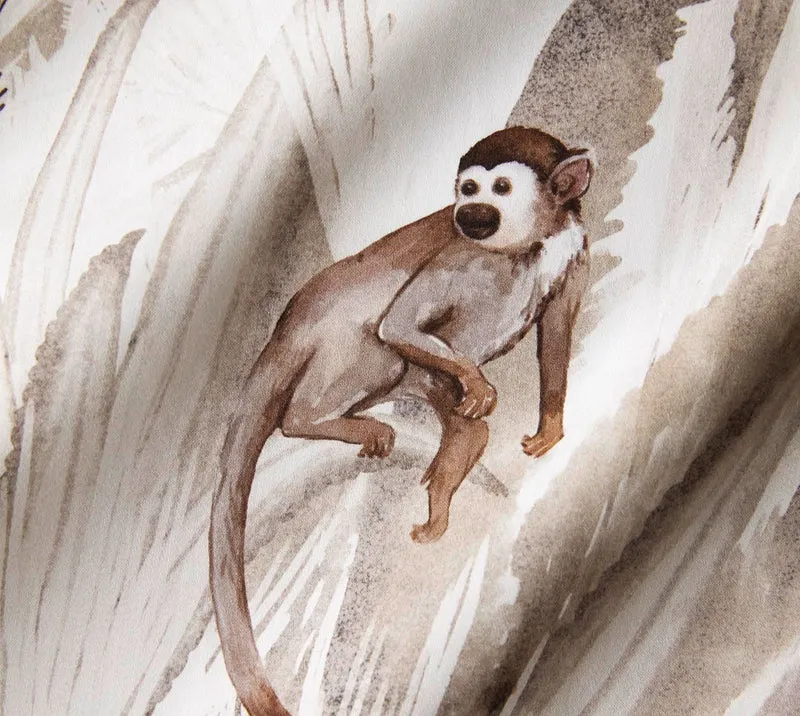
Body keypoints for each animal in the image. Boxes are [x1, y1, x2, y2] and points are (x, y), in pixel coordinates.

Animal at [209, 126, 593, 716]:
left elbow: (555, 334)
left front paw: (549, 425)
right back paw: (317, 419)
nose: (469, 214)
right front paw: (478, 381)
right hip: (336, 348)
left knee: (454, 412)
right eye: (468, 189)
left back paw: (446, 475)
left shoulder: (572, 249)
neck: (532, 248)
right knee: (381, 350)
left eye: (500, 188)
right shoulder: (466, 260)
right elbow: (400, 323)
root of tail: (285, 330)